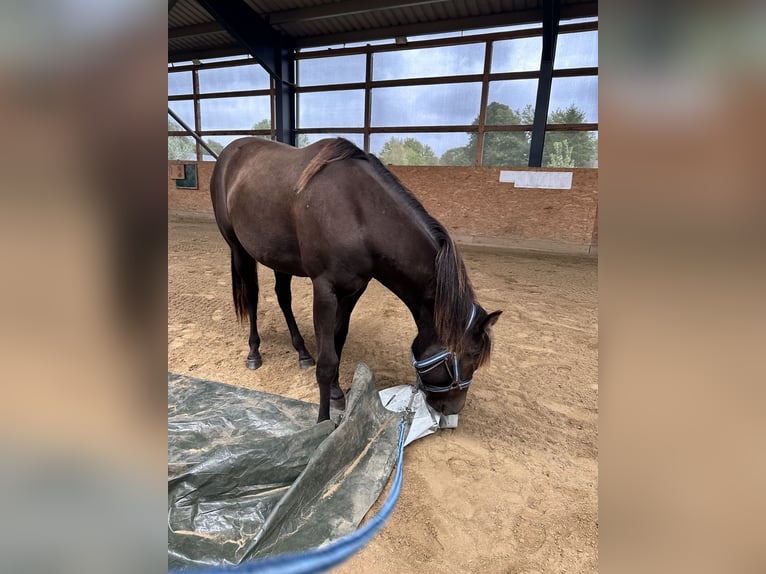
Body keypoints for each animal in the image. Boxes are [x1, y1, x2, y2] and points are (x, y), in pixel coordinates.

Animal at [210, 137, 501, 422]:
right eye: (472, 356)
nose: (453, 408)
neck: (358, 212)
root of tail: (229, 153)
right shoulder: (325, 290)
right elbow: (326, 362)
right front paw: (323, 421)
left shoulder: (354, 290)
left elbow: (338, 341)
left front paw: (337, 393)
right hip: (239, 250)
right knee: (252, 297)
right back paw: (254, 353)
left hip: (279, 258)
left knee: (283, 297)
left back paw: (302, 353)